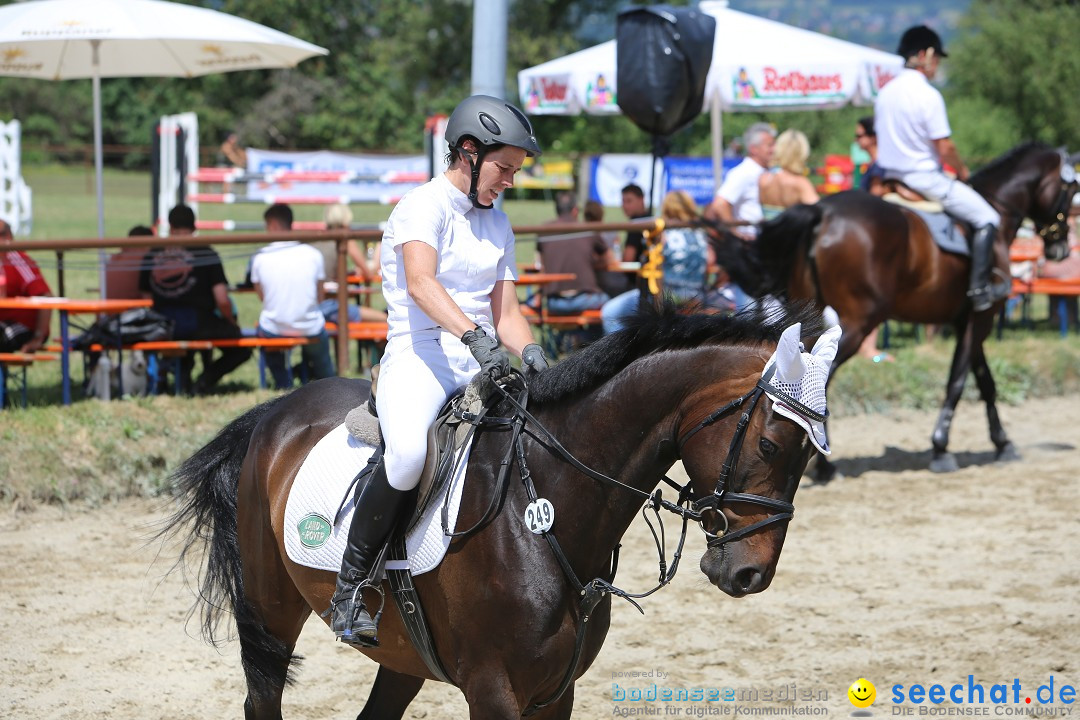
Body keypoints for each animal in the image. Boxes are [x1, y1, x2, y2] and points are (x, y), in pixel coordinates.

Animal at [164, 306, 829, 720]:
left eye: (809, 455)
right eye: (772, 445)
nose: (749, 574)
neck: (546, 512)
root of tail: (275, 411)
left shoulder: (555, 693)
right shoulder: (494, 691)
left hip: (402, 650)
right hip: (271, 614)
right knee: (263, 696)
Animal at [712, 141, 1075, 481]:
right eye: (1071, 191)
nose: (1060, 249)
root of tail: (822, 211)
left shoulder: (965, 321)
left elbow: (985, 380)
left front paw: (1002, 444)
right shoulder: (981, 317)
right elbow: (958, 381)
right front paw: (941, 448)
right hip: (855, 323)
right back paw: (824, 464)